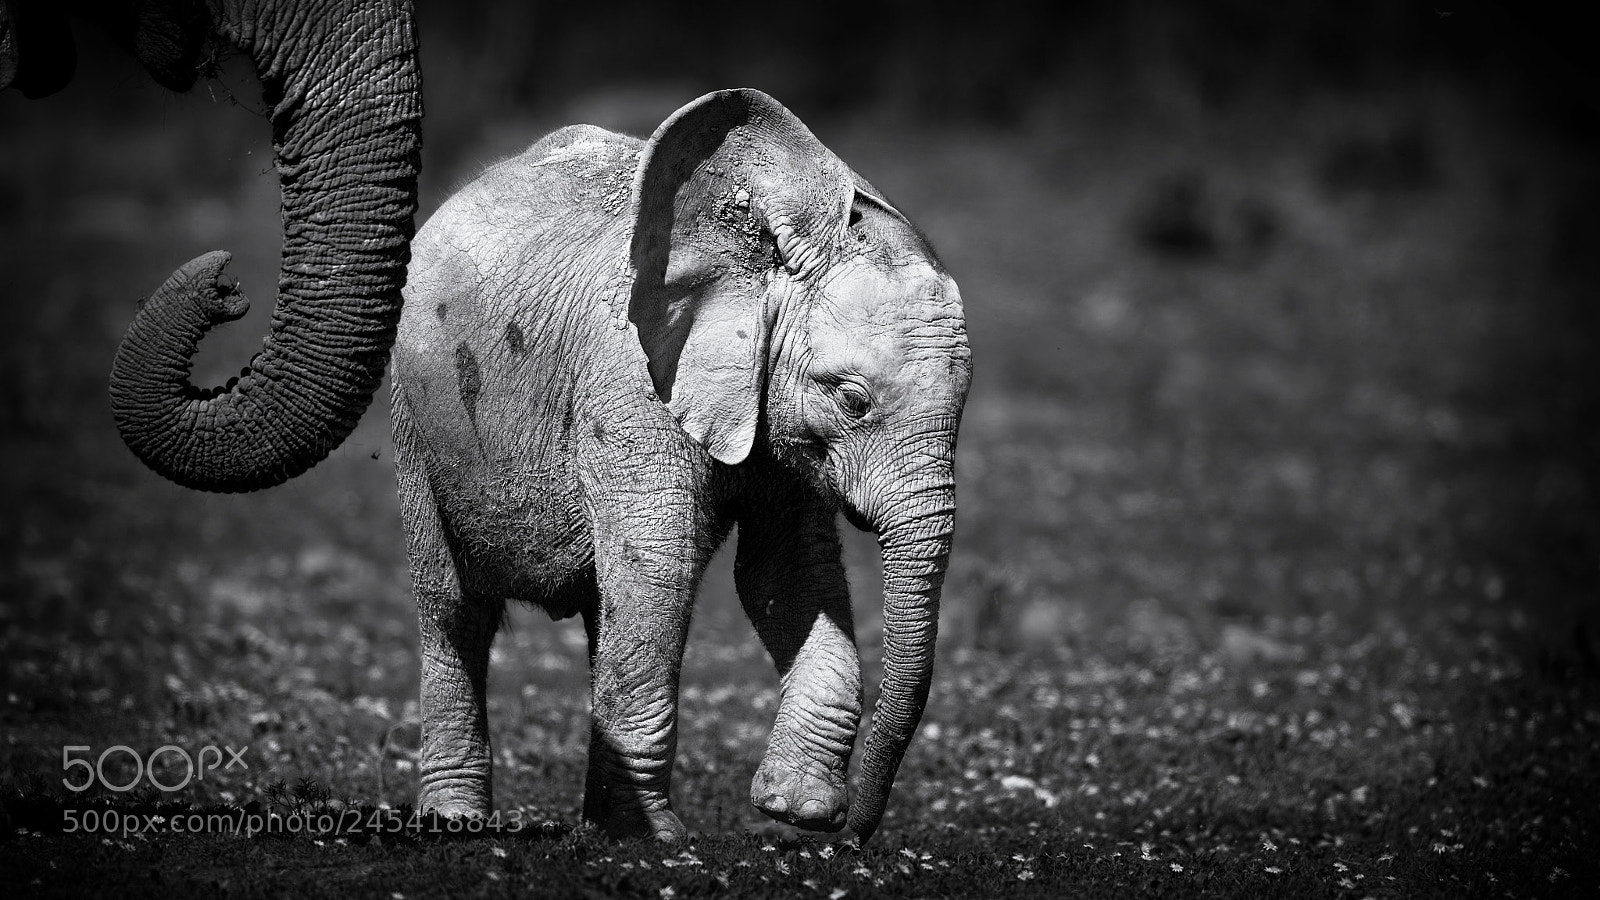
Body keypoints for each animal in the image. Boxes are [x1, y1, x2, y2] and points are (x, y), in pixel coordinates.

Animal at [390, 88, 972, 844]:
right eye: (852, 399)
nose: (854, 839)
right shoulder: (629, 380)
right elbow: (657, 571)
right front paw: (654, 840)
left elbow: (786, 575)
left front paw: (796, 809)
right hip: (414, 414)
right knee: (452, 606)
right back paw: (456, 823)